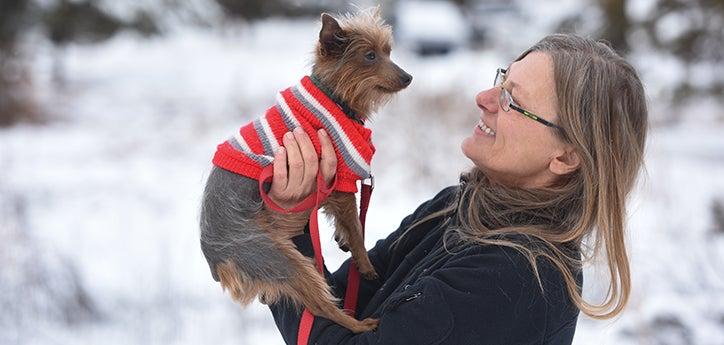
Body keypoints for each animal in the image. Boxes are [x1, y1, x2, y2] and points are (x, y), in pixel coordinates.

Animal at [201, 9, 410, 332]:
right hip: (277, 259)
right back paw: (359, 325)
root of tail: (214, 257)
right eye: (370, 56)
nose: (408, 77)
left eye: (389, 52)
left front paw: (341, 238)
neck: (335, 98)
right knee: (320, 306)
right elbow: (356, 228)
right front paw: (364, 264)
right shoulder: (341, 179)